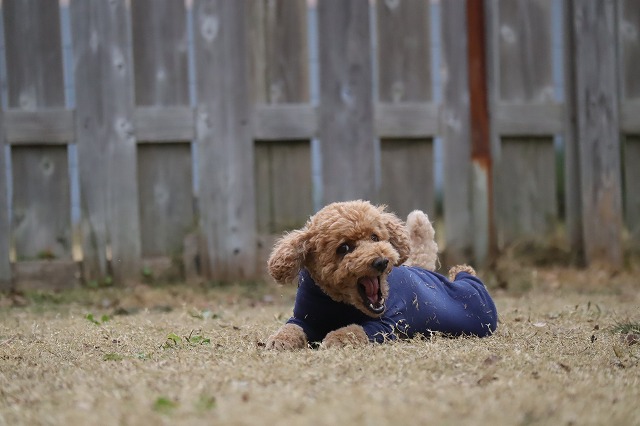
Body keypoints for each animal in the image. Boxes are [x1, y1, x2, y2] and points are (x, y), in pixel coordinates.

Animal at [266, 200, 497, 349]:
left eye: (375, 237)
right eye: (344, 248)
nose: (381, 261)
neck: (339, 302)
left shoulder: (388, 324)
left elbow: (354, 329)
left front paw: (335, 339)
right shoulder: (304, 318)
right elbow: (291, 327)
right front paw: (280, 340)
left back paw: (461, 270)